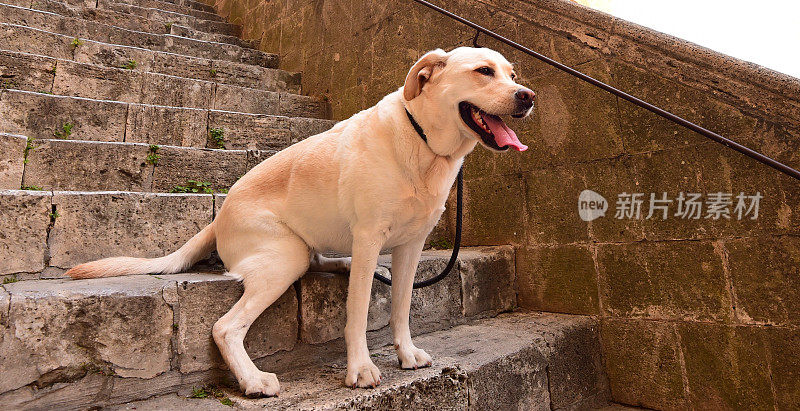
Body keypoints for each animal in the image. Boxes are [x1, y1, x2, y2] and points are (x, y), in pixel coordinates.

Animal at [67, 46, 532, 398]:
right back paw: (253, 379)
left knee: (321, 261)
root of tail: (220, 216)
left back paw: (342, 265)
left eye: (512, 74)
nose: (528, 96)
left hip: (308, 248)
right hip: (284, 255)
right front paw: (360, 369)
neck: (425, 146)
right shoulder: (369, 237)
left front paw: (406, 352)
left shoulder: (411, 245)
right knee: (225, 327)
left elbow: (401, 306)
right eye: (483, 71)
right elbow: (358, 312)